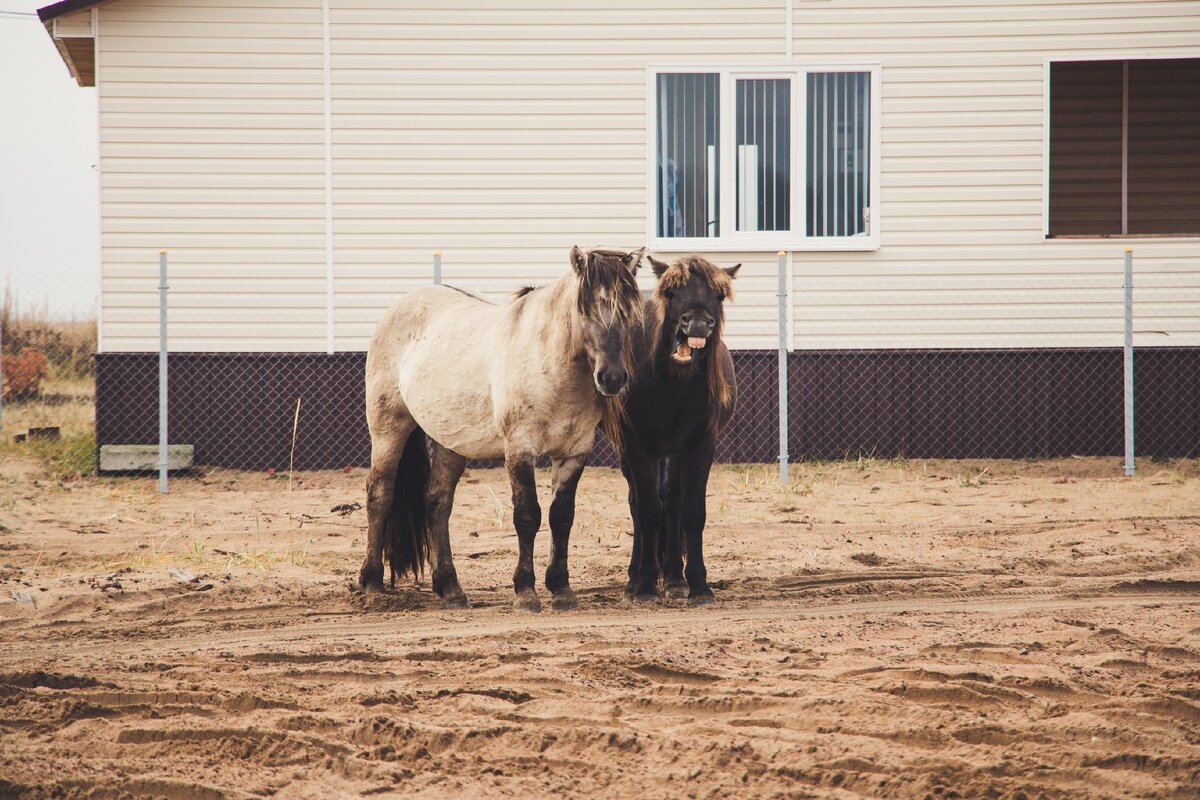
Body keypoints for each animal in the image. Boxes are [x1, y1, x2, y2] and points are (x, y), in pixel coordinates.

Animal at [357, 247, 648, 609]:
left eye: (629, 314)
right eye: (586, 311)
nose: (612, 378)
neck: (549, 364)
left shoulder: (574, 454)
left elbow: (561, 517)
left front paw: (561, 589)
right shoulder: (520, 450)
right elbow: (527, 515)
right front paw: (526, 591)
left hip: (451, 442)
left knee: (437, 502)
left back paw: (450, 588)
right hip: (388, 429)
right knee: (380, 495)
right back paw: (371, 583)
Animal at [614, 255, 734, 599]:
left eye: (719, 295)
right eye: (672, 292)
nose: (696, 324)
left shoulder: (700, 446)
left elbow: (692, 511)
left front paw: (697, 584)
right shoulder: (636, 446)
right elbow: (647, 510)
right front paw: (644, 585)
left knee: (672, 499)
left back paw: (673, 577)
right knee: (638, 502)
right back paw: (637, 576)